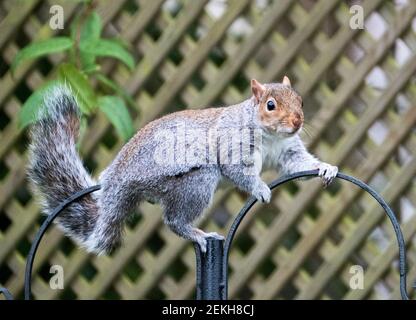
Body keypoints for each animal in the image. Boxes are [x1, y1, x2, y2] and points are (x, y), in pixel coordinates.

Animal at [26, 76, 338, 254]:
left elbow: (299, 166)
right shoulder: (232, 144)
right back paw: (197, 234)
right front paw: (260, 189)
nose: (297, 121)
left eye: (300, 100)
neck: (270, 135)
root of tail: (119, 180)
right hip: (195, 180)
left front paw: (326, 168)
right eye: (270, 105)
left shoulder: (287, 151)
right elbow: (238, 171)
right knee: (173, 220)